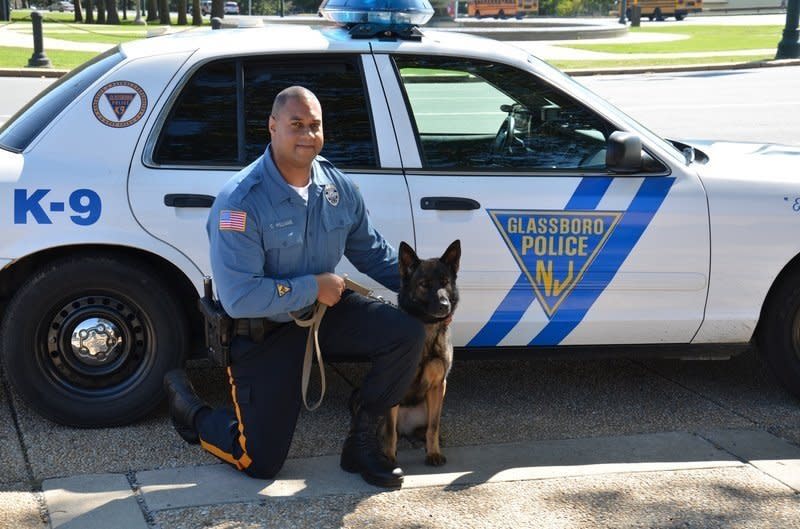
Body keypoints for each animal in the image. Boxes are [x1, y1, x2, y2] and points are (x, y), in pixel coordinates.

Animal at [382, 239, 460, 466]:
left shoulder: (438, 386)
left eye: (445, 281)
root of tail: (406, 427)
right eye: (424, 284)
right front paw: (389, 457)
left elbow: (433, 427)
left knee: (427, 429)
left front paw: (433, 453)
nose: (444, 305)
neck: (426, 328)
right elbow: (390, 431)